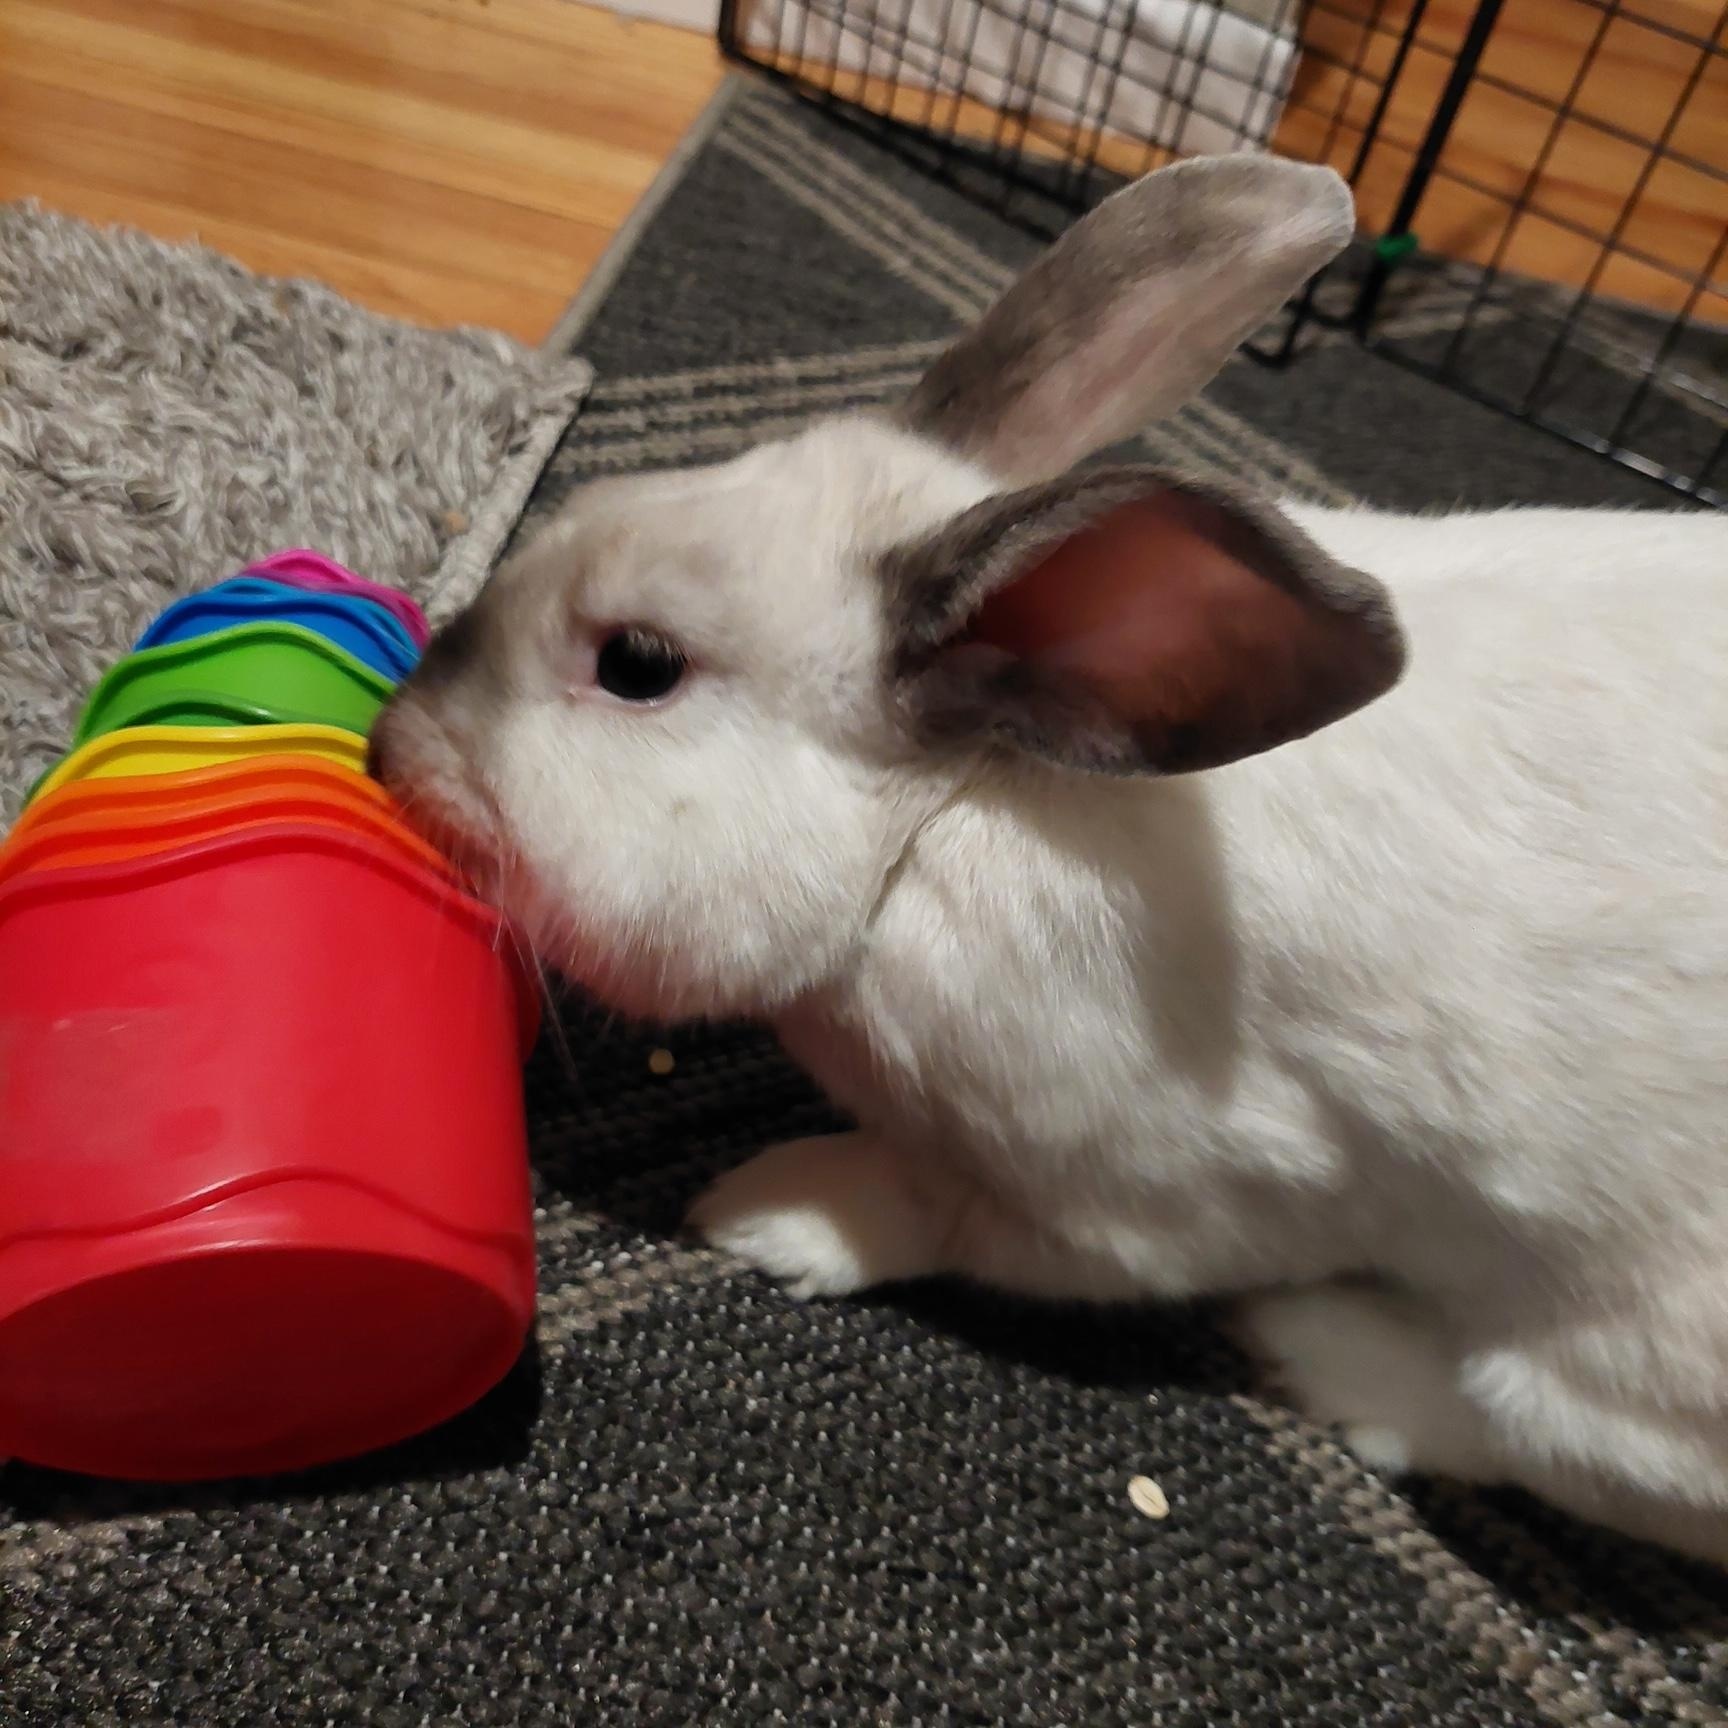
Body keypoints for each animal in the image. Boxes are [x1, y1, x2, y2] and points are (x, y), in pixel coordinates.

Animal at [370, 153, 1728, 1564]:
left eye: (639, 664)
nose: (394, 741)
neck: (948, 814)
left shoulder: (1145, 1199)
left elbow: (933, 1211)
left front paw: (769, 1212)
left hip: (1627, 1357)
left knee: (1539, 1433)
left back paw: (1326, 1355)